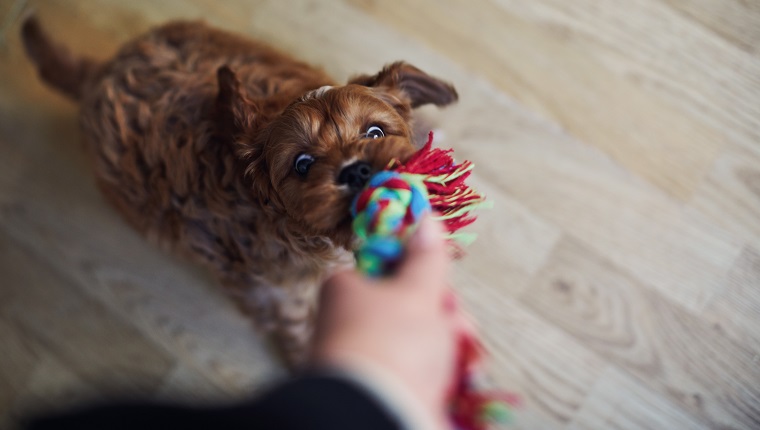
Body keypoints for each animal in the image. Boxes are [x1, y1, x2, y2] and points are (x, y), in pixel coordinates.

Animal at [20, 17, 458, 366]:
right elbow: (299, 327)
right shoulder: (279, 291)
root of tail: (98, 73)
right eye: (303, 165)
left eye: (376, 133)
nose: (355, 170)